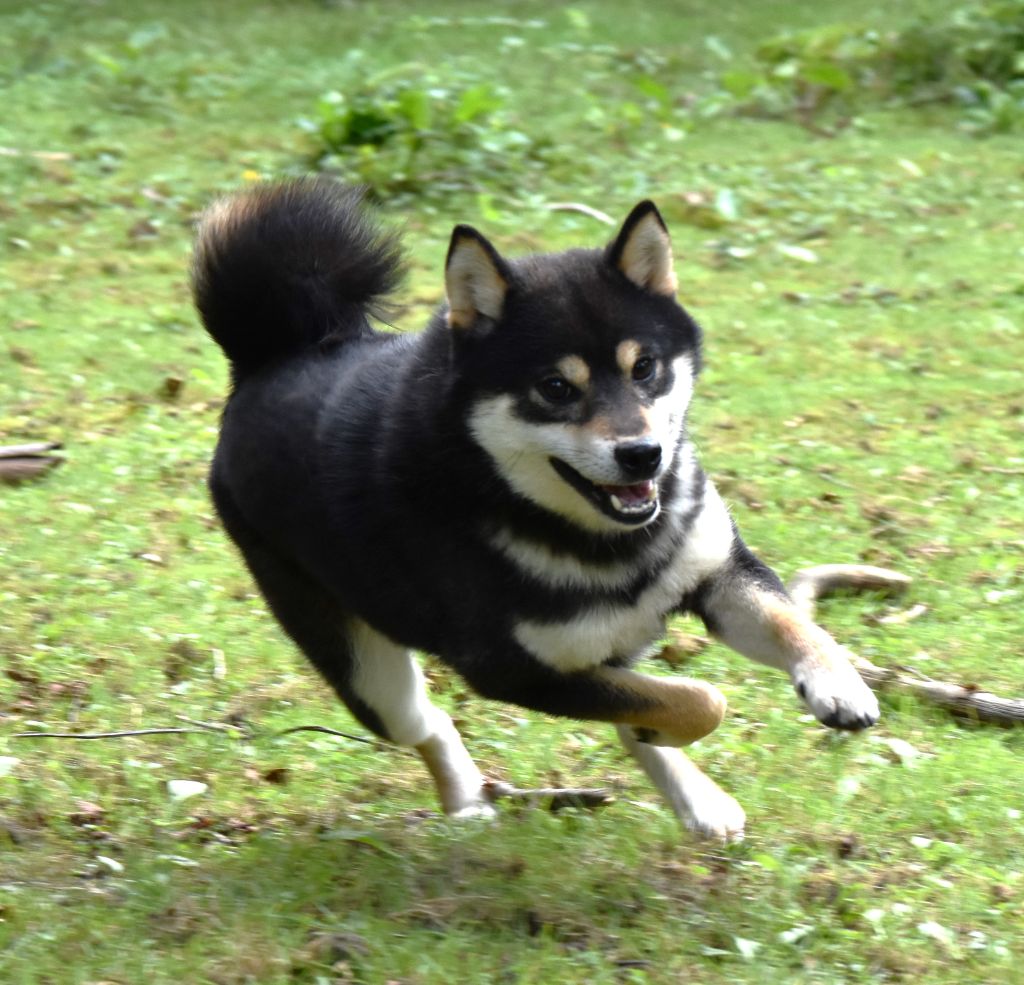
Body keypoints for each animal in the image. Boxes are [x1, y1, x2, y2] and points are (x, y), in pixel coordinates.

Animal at [193, 178, 880, 835]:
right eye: (555, 388)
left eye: (645, 367)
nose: (643, 455)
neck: (597, 537)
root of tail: (276, 355)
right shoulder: (514, 670)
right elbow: (699, 699)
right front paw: (677, 722)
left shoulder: (717, 571)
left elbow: (791, 625)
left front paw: (837, 682)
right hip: (370, 673)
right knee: (430, 722)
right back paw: (468, 800)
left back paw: (697, 799)